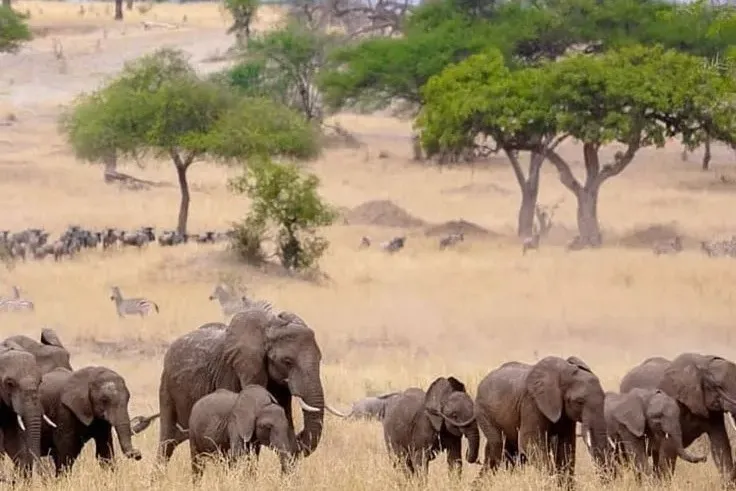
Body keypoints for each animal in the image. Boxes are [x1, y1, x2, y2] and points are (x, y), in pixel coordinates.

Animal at [156, 307, 346, 465]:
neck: (268, 327)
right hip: (166, 387)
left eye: (320, 358)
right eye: (287, 361)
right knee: (167, 442)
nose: (299, 435)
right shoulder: (232, 370)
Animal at [474, 356, 608, 489]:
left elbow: (566, 445)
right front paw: (551, 484)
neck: (564, 372)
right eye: (579, 401)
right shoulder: (531, 402)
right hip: (484, 412)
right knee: (498, 449)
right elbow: (530, 443)